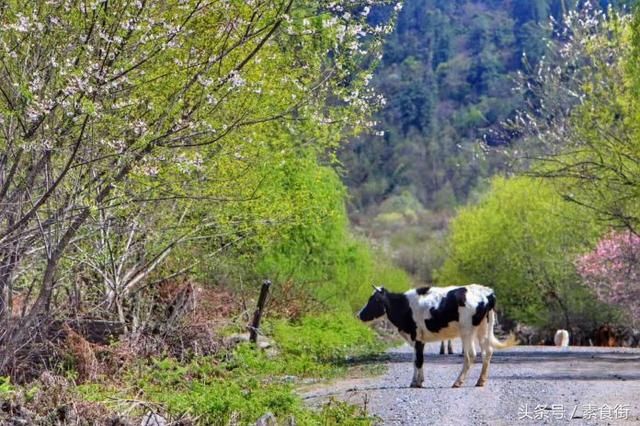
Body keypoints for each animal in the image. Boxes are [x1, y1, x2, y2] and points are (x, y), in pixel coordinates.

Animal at [358, 284, 516, 388]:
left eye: (374, 300)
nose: (359, 315)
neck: (404, 306)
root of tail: (486, 292)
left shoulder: (417, 337)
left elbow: (419, 361)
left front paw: (417, 383)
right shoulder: (417, 339)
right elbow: (416, 360)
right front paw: (415, 381)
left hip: (467, 331)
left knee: (470, 354)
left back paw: (458, 382)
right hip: (483, 329)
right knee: (487, 352)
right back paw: (480, 381)